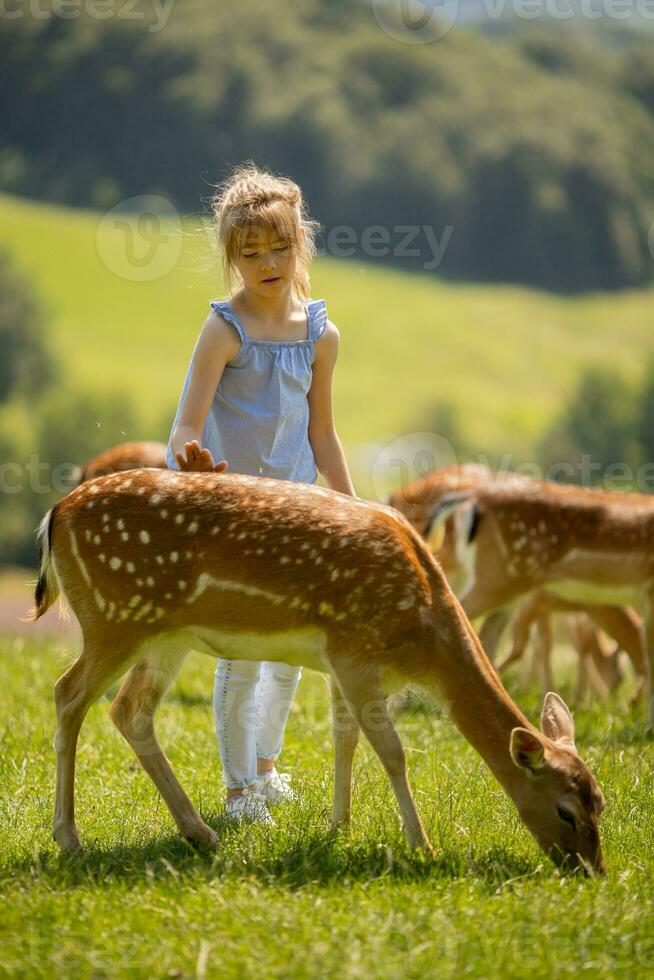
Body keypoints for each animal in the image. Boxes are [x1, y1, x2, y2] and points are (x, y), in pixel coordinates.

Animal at [29, 468, 604, 872]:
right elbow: (392, 751)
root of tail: (54, 516)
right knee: (67, 693)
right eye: (566, 811)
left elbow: (344, 740)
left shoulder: (340, 663)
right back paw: (70, 839)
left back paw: (198, 832)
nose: (591, 870)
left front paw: (339, 829)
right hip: (114, 616)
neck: (420, 636)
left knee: (131, 711)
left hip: (164, 634)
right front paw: (422, 847)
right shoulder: (353, 652)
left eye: (601, 800)